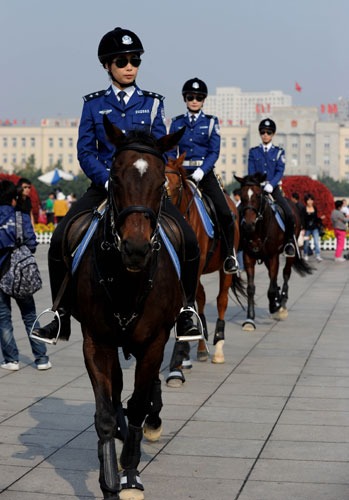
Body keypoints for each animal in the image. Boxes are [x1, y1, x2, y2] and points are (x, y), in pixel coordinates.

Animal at [69, 118, 186, 500]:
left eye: (160, 182)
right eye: (115, 178)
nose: (136, 248)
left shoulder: (154, 342)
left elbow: (137, 404)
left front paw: (131, 474)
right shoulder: (96, 342)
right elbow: (106, 411)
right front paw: (108, 482)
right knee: (118, 389)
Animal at [164, 156, 243, 386]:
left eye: (177, 186)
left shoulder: (194, 268)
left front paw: (177, 362)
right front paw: (183, 358)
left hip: (225, 268)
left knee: (221, 300)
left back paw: (218, 348)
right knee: (200, 298)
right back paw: (199, 346)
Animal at [234, 173, 310, 332]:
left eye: (258, 195)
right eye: (242, 196)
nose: (248, 225)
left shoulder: (273, 256)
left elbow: (271, 287)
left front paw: (275, 306)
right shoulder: (248, 256)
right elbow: (251, 288)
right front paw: (250, 319)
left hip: (289, 252)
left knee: (285, 273)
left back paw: (282, 304)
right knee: (273, 278)